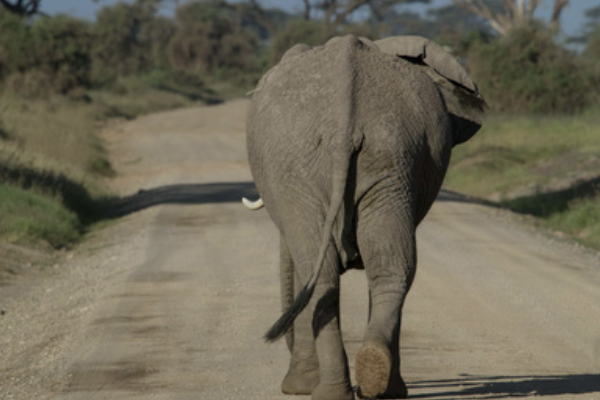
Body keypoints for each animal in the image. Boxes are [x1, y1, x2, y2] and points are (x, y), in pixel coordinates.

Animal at [246, 35, 486, 400]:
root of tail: (344, 124)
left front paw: (296, 387)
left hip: (307, 170)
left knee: (321, 274)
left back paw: (329, 390)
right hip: (391, 158)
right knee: (390, 266)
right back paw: (377, 378)